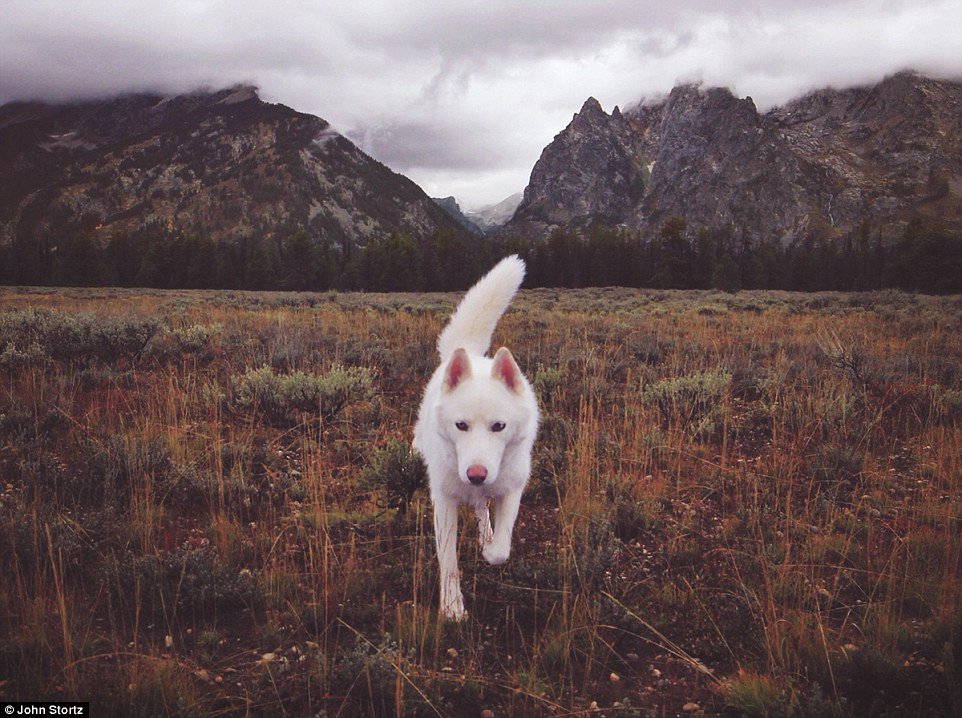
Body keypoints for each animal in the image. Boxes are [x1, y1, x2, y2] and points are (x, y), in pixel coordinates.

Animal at [408, 256, 536, 620]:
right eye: (461, 425)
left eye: (499, 426)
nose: (476, 474)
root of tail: (469, 354)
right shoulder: (443, 502)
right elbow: (448, 559)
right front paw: (452, 606)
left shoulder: (512, 488)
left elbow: (501, 547)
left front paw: (490, 547)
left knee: (482, 510)